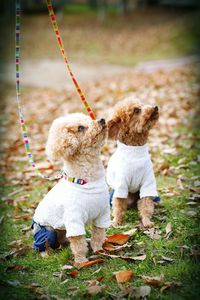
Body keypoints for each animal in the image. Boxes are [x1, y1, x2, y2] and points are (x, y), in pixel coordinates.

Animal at [106, 98, 159, 227]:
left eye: (142, 104)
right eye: (136, 110)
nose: (155, 107)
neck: (135, 153)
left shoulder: (147, 183)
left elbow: (146, 204)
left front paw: (147, 222)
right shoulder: (121, 185)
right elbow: (118, 205)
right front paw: (117, 222)